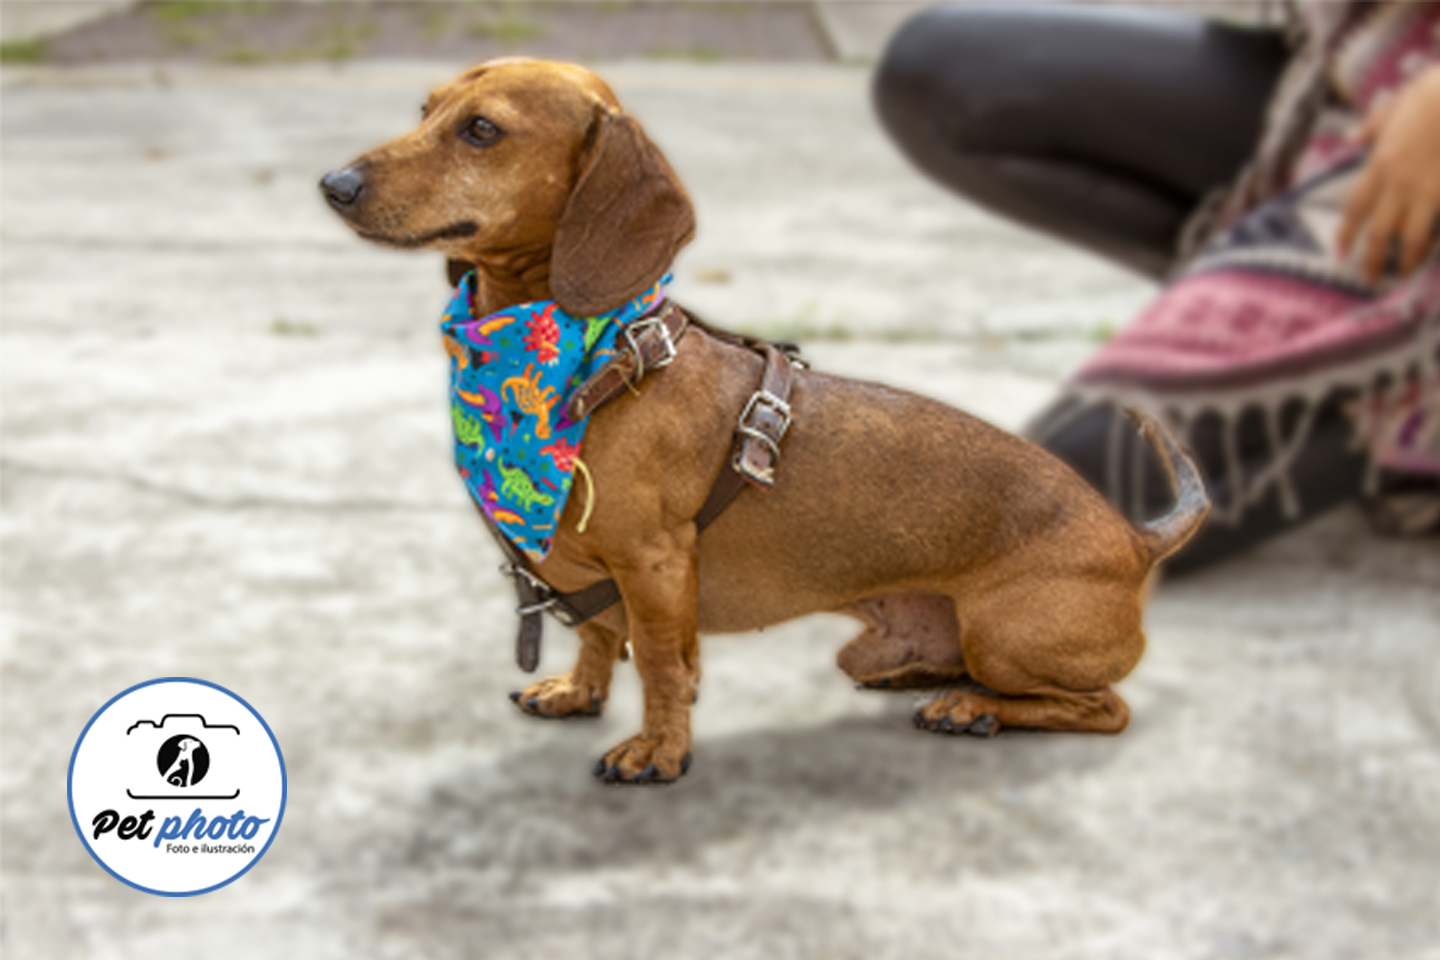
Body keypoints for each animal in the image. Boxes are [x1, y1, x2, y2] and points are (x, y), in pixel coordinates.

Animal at [321, 58, 1208, 785]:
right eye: (426, 108)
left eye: (481, 130)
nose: (333, 184)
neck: (591, 364)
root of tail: (1134, 539)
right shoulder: (594, 578)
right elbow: (601, 638)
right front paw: (578, 691)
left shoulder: (654, 566)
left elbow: (662, 666)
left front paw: (659, 751)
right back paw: (925, 678)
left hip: (1007, 635)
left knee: (1101, 707)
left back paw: (973, 707)